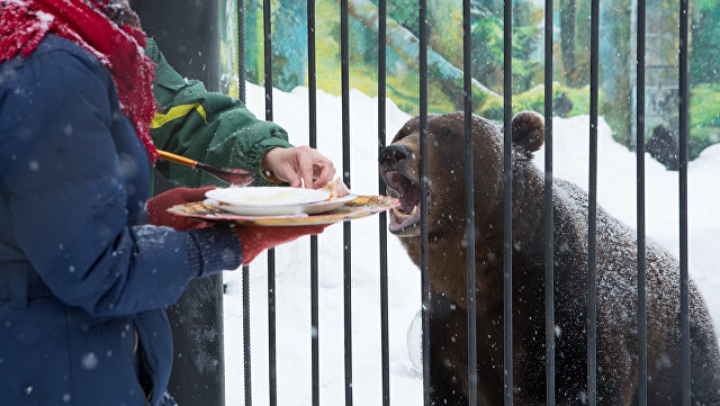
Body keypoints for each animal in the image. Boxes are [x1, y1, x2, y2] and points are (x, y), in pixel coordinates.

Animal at [380, 111, 716, 406]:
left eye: (448, 133)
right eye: (403, 131)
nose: (393, 153)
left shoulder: (563, 307)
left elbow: (579, 380)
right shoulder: (449, 322)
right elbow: (451, 384)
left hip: (679, 355)